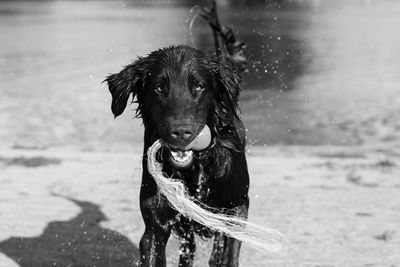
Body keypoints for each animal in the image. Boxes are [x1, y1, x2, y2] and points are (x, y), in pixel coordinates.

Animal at [106, 46, 250, 267]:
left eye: (198, 86)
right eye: (159, 88)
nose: (181, 132)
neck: (195, 168)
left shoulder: (238, 206)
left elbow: (228, 252)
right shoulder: (155, 227)